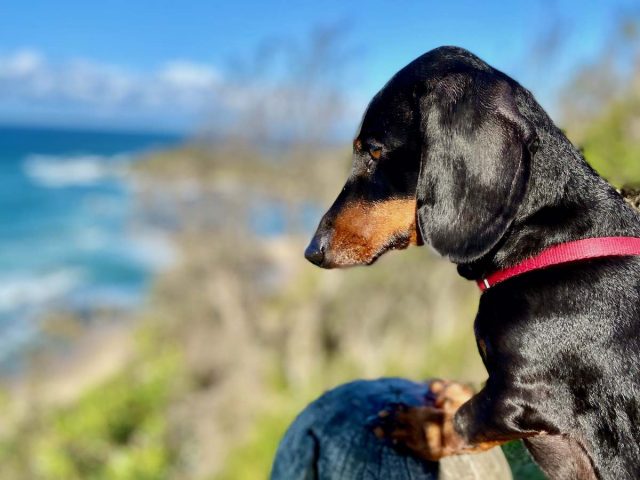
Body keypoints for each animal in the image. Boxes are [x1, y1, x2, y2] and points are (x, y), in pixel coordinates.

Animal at [304, 46, 640, 480]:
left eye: (375, 151)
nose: (313, 251)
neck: (548, 245)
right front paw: (451, 392)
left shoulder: (522, 395)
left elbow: (465, 420)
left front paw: (418, 427)